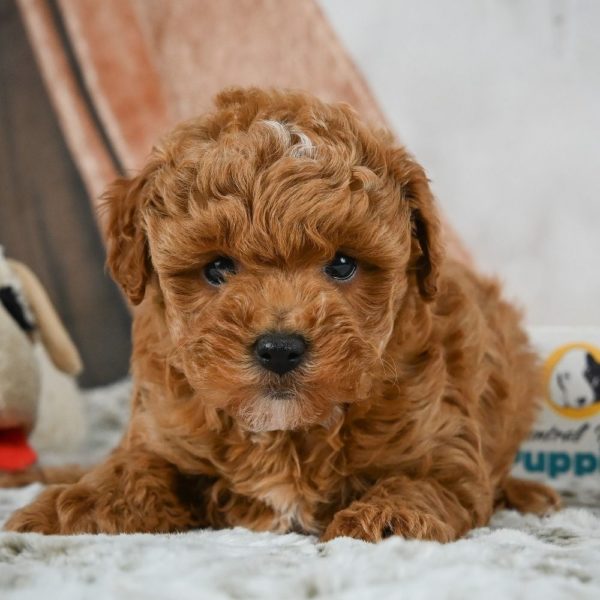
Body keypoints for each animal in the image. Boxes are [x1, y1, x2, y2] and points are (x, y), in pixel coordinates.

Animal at [4, 88, 560, 540]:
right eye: (217, 267)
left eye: (343, 264)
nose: (279, 349)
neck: (287, 431)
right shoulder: (161, 434)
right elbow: (130, 473)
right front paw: (67, 508)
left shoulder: (444, 448)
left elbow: (423, 481)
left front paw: (386, 518)